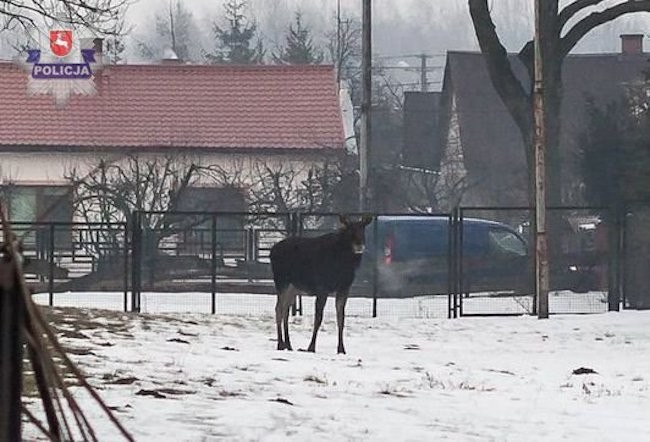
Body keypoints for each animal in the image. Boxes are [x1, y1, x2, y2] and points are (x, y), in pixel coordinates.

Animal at [268, 215, 370, 356]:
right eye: (349, 230)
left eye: (363, 229)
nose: (359, 245)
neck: (344, 265)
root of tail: (271, 252)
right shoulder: (322, 288)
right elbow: (318, 318)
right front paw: (311, 347)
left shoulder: (344, 288)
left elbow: (341, 318)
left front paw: (341, 349)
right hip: (281, 281)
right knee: (278, 309)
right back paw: (280, 344)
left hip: (293, 287)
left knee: (285, 311)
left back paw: (288, 344)